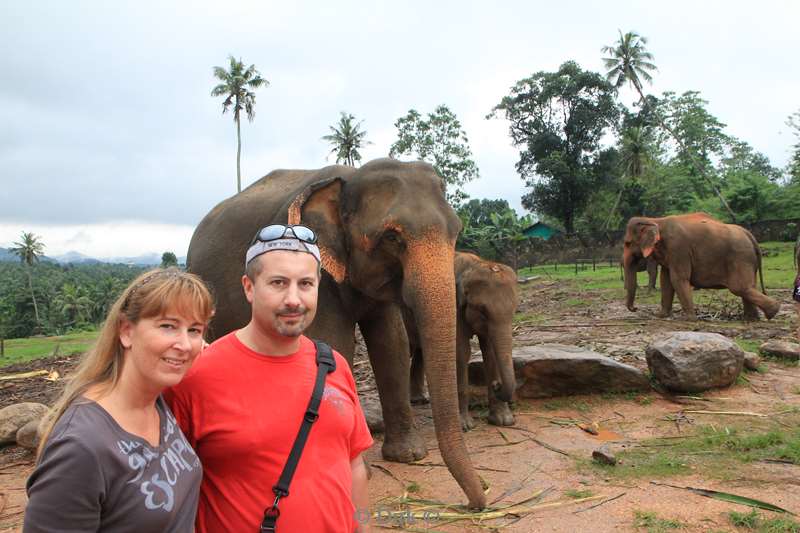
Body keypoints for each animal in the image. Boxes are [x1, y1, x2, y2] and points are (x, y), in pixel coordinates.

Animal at [187, 157, 484, 508]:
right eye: (392, 237)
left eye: (457, 231)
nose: (474, 504)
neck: (348, 179)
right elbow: (333, 343)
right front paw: (354, 466)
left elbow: (391, 344)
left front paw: (409, 456)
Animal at [406, 251, 520, 430]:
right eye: (482, 310)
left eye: (515, 309)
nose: (497, 384)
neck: (473, 265)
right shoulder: (453, 307)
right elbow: (461, 351)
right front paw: (465, 426)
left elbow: (489, 351)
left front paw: (503, 421)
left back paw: (419, 400)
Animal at [620, 213, 780, 320]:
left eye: (627, 243)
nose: (635, 308)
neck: (655, 220)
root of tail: (749, 235)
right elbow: (666, 281)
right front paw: (661, 315)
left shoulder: (679, 249)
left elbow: (677, 279)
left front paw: (689, 319)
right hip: (747, 260)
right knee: (748, 287)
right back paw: (752, 319)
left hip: (740, 257)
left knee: (739, 287)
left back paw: (772, 312)